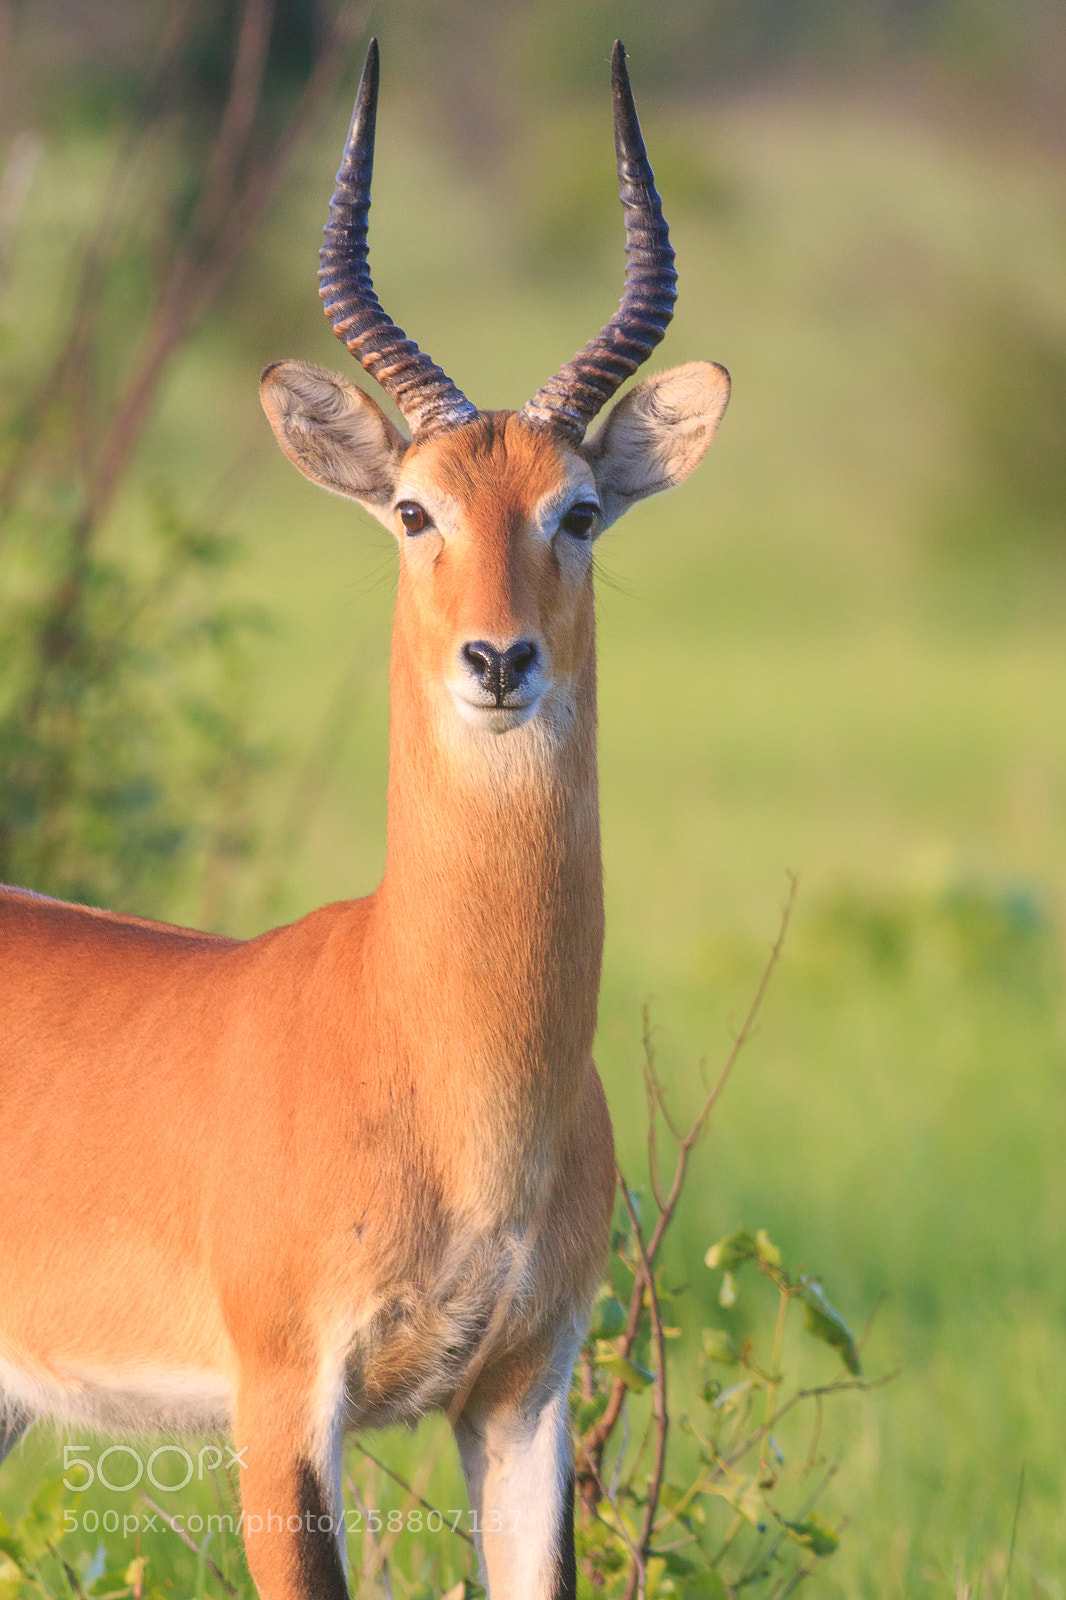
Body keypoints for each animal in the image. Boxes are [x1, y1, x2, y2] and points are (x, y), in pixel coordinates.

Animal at [0, 40, 730, 1600]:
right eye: (411, 509)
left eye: (578, 511)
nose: (499, 660)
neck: (435, 1052)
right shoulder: (285, 1395)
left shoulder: (520, 1393)